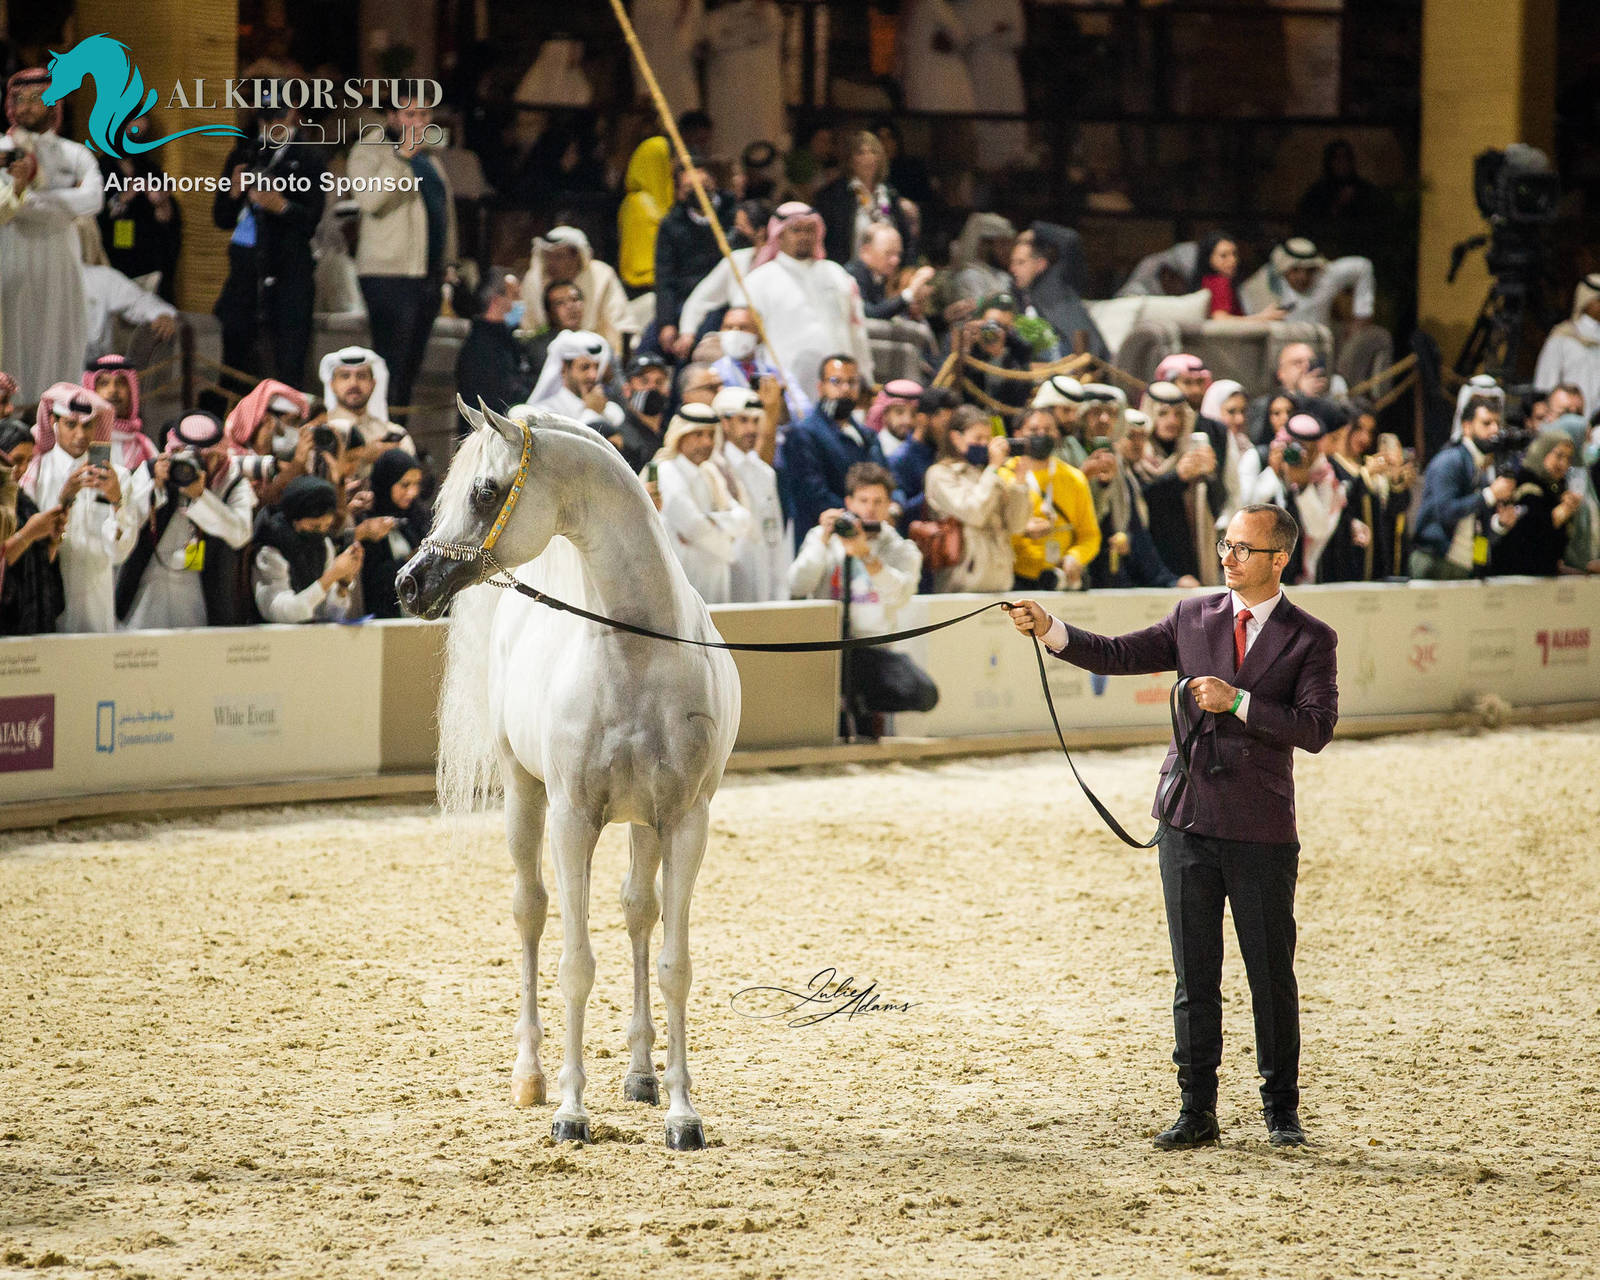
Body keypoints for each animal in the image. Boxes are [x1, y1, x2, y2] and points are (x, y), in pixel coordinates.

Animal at [396, 400, 741, 1151]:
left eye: (485, 491)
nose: (410, 582)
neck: (638, 651)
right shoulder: (571, 818)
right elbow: (575, 965)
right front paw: (570, 1111)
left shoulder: (686, 821)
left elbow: (673, 966)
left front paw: (682, 1113)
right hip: (524, 802)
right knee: (530, 913)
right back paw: (529, 1077)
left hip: (643, 825)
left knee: (638, 914)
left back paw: (640, 1075)